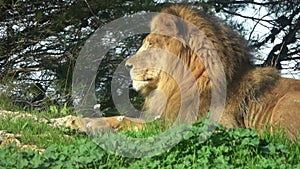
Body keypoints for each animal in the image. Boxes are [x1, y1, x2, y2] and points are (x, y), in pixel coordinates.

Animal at [68, 5, 300, 140]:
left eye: (150, 44)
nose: (127, 66)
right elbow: (120, 117)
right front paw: (68, 120)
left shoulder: (213, 126)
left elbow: (127, 122)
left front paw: (86, 125)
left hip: (284, 105)